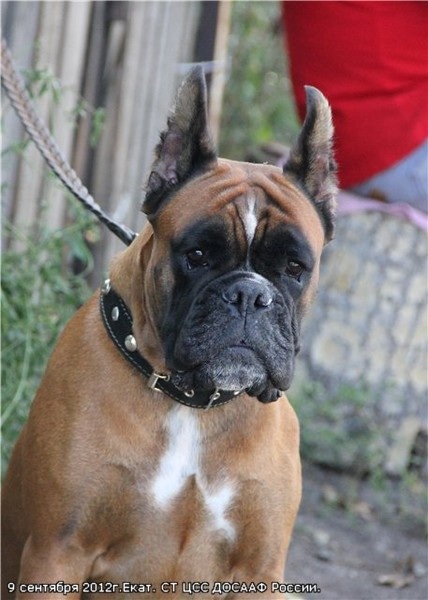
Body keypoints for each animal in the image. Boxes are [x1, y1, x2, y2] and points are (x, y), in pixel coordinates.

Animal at [1, 67, 336, 599]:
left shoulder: (260, 570)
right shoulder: (57, 553)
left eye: (294, 267)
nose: (248, 295)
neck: (190, 404)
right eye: (196, 255)